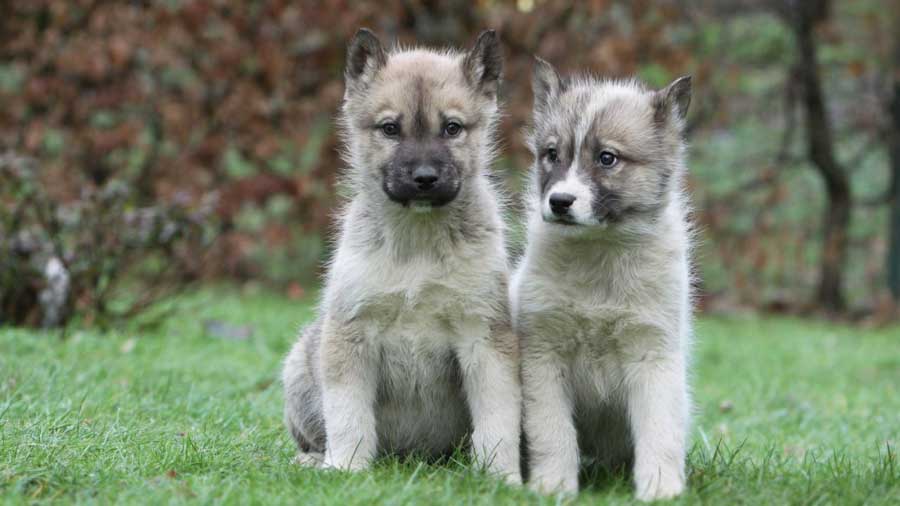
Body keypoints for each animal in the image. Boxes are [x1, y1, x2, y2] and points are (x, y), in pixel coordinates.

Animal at [282, 29, 520, 484]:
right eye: (390, 129)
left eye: (452, 128)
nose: (424, 178)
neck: (418, 248)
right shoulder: (351, 332)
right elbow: (348, 416)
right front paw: (346, 468)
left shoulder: (483, 337)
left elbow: (498, 419)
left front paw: (502, 477)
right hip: (301, 365)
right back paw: (312, 459)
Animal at [512, 57, 696, 500]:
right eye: (552, 154)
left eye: (607, 158)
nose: (560, 202)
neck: (598, 255)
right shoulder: (543, 356)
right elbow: (553, 431)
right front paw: (552, 486)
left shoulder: (653, 354)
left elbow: (660, 431)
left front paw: (660, 488)